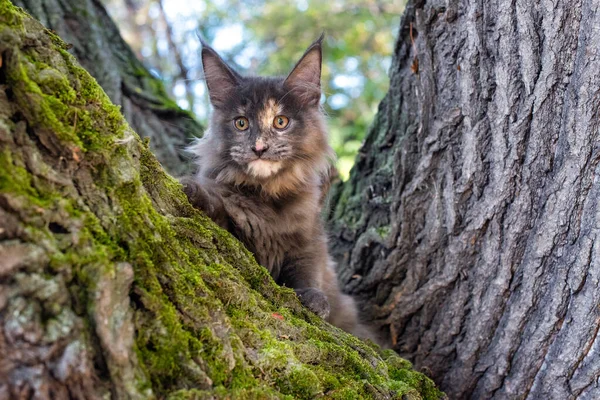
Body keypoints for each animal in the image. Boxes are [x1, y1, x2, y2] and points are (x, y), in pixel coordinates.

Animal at [180, 35, 372, 340]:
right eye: (241, 123)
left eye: (280, 122)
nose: (259, 148)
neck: (269, 197)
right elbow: (220, 211)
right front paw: (193, 192)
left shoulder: (309, 241)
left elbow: (307, 272)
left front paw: (314, 299)